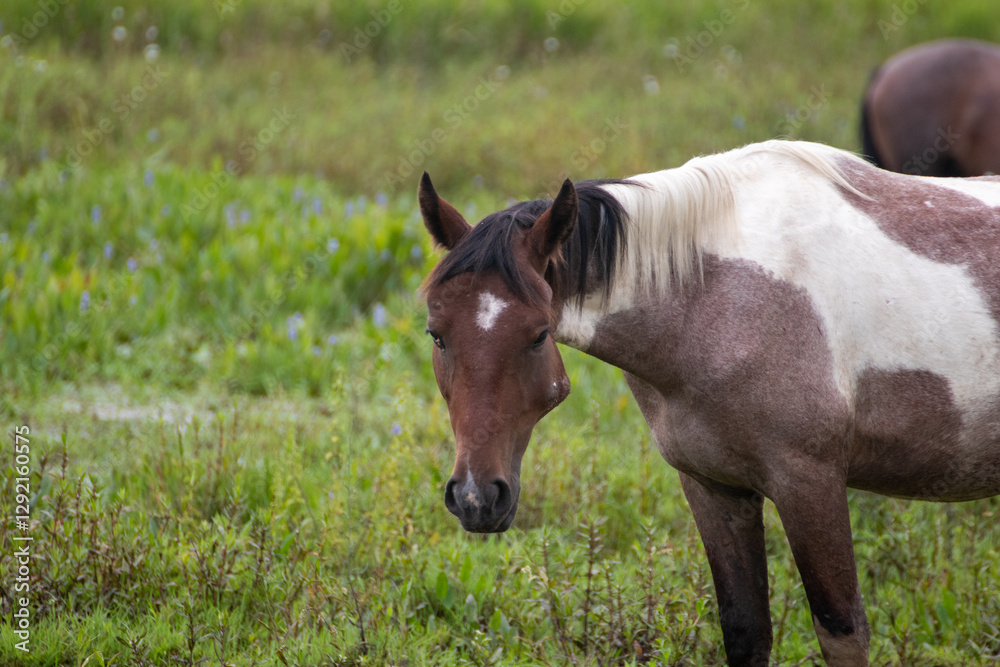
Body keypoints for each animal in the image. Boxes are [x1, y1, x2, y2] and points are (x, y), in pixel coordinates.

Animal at [418, 140, 1000, 666]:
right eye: (436, 335)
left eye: (539, 335)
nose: (475, 498)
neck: (718, 299)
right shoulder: (713, 486)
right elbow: (745, 630)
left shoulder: (810, 482)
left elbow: (841, 629)